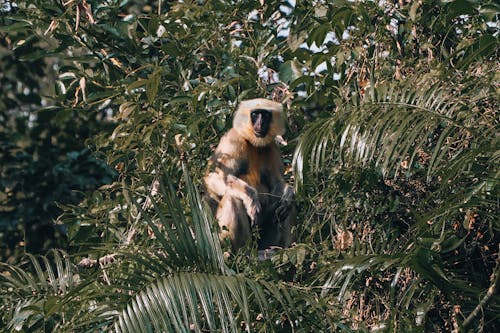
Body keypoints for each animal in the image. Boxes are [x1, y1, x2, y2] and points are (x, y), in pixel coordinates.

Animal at [204, 98, 294, 249]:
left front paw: (289, 194)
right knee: (232, 197)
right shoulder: (234, 140)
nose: (260, 124)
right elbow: (214, 178)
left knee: (282, 206)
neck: (253, 143)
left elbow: (277, 184)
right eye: (255, 114)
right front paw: (251, 198)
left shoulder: (271, 147)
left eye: (265, 115)